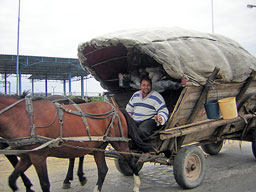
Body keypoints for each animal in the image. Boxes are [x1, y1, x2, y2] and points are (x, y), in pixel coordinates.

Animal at [0, 94, 142, 192]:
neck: (23, 117)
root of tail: (116, 109)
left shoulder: (38, 156)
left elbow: (45, 184)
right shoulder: (27, 156)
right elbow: (12, 180)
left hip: (119, 142)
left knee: (131, 160)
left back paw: (136, 185)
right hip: (98, 147)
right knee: (103, 169)